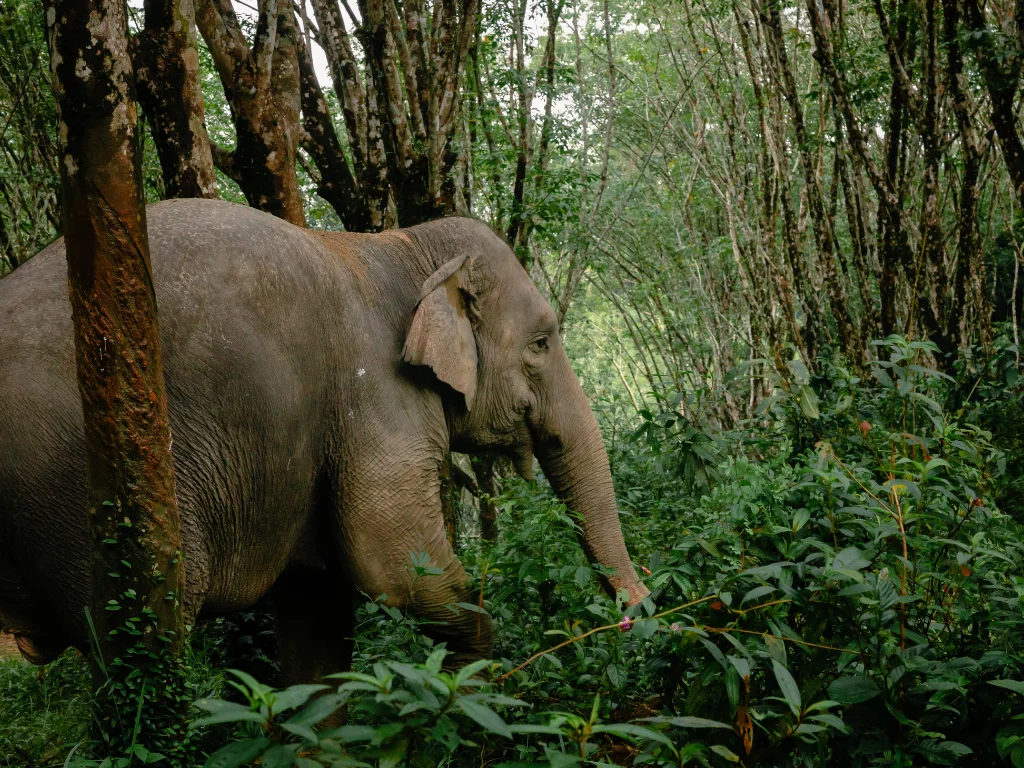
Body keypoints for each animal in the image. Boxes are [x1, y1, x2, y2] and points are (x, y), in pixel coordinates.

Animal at [0, 199, 647, 684]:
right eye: (541, 343)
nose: (637, 616)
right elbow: (394, 567)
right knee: (141, 652)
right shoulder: (374, 398)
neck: (399, 246)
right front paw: (460, 688)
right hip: (86, 495)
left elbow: (319, 619)